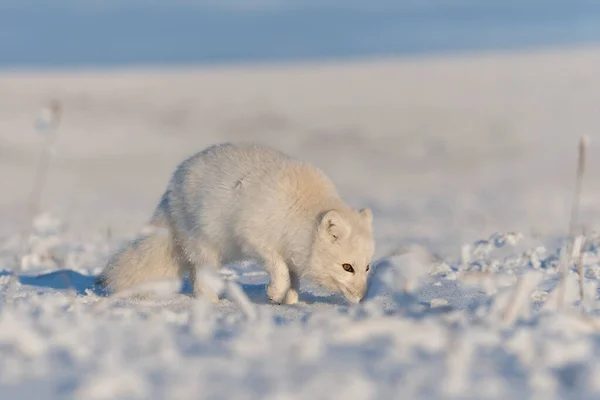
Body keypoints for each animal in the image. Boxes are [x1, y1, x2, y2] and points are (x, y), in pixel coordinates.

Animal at [95, 143, 372, 304]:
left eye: (367, 267)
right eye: (347, 267)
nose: (361, 297)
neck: (299, 211)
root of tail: (171, 189)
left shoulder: (292, 248)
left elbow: (293, 277)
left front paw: (289, 301)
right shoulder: (256, 238)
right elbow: (281, 270)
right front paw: (274, 292)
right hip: (206, 245)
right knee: (200, 276)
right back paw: (212, 303)